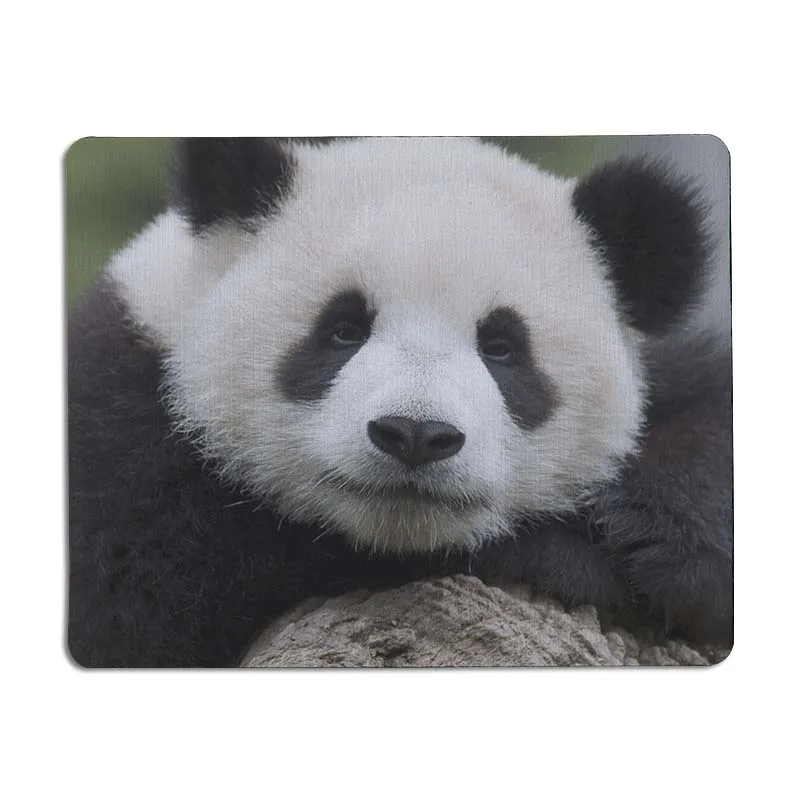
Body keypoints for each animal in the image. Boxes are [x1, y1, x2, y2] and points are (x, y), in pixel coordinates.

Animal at [67, 137, 733, 667]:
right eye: (342, 330)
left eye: (502, 348)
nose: (415, 435)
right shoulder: (110, 412)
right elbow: (141, 581)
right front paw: (564, 556)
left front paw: (654, 532)